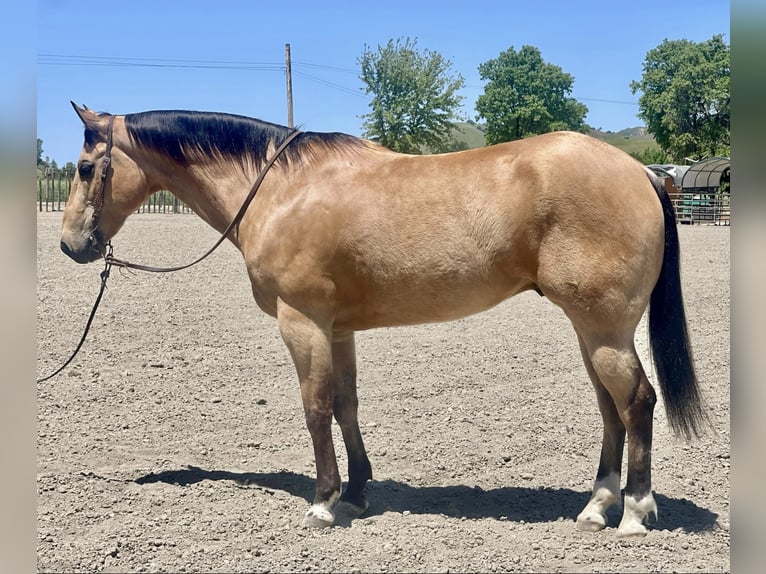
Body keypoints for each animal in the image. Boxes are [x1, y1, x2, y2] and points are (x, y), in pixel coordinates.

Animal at [58, 103, 708, 540]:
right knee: (611, 409)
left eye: (87, 167)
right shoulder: (336, 328)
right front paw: (357, 492)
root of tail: (642, 173)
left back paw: (634, 512)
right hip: (591, 330)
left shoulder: (303, 323)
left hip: (603, 330)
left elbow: (315, 407)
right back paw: (597, 507)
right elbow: (345, 405)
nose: (71, 246)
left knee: (636, 402)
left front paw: (323, 502)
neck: (282, 188)